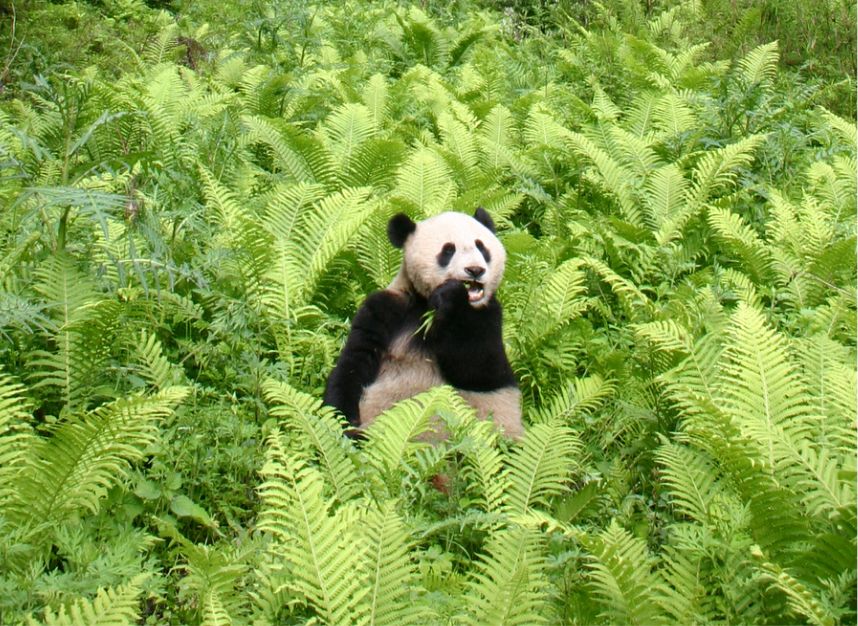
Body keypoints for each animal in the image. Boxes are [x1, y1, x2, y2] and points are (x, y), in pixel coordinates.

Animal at [323, 208, 523, 440]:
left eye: (481, 247)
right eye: (448, 250)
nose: (475, 270)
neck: (426, 302)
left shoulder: (488, 313)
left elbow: (482, 370)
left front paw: (452, 297)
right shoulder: (385, 308)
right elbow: (354, 362)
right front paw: (343, 421)